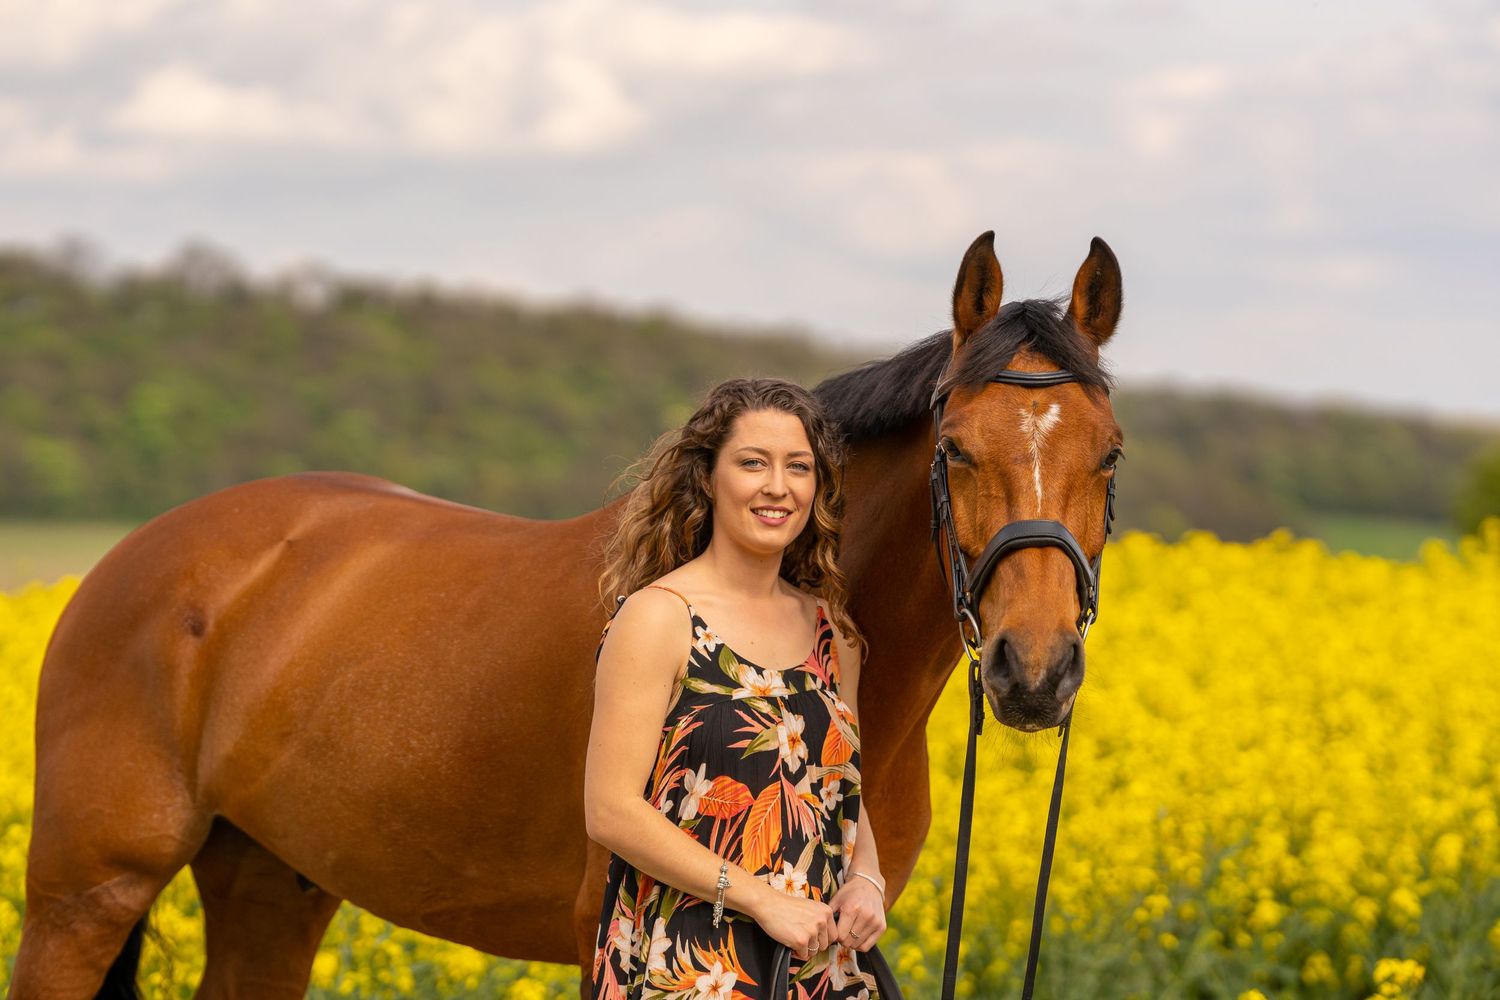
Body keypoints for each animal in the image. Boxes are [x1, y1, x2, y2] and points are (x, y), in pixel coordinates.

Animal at [11, 231, 1122, 998]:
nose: (1035, 672)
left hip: (270, 883)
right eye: (956, 449)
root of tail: (130, 558)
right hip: (85, 894)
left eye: (1108, 454)